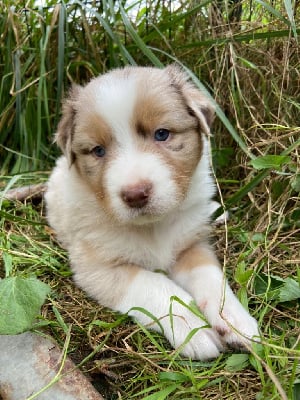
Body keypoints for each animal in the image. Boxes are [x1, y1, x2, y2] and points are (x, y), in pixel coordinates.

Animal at [45, 65, 258, 360]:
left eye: (162, 134)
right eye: (98, 151)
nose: (135, 194)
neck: (153, 226)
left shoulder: (191, 245)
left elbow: (211, 277)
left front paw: (234, 319)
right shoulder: (96, 266)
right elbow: (153, 283)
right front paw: (192, 327)